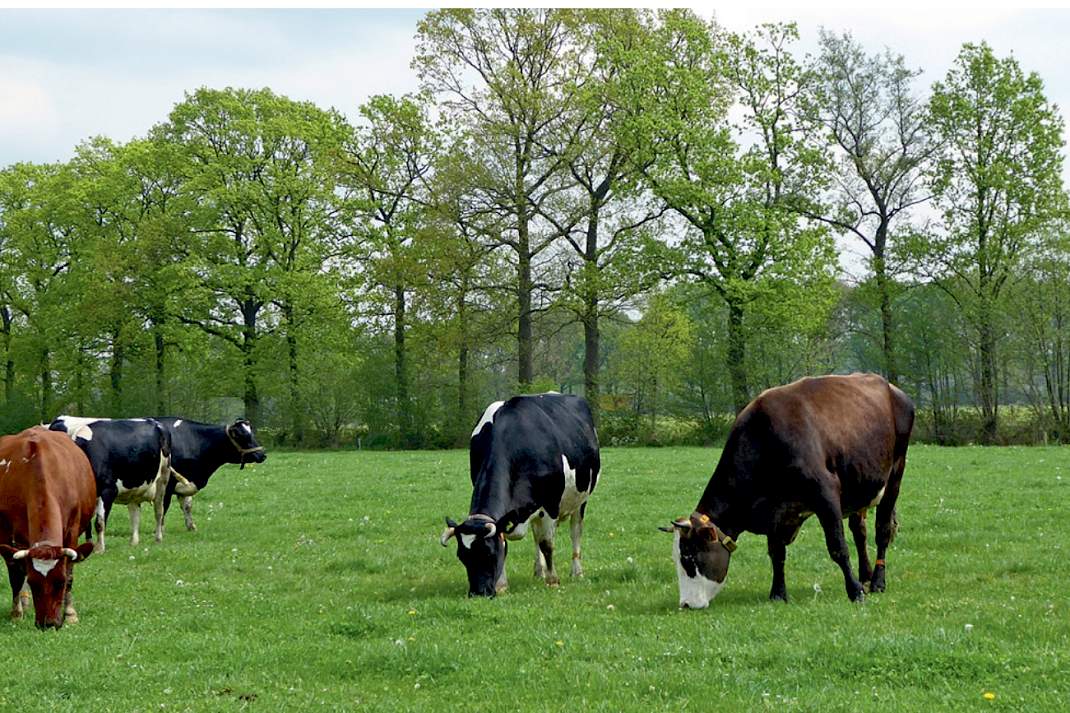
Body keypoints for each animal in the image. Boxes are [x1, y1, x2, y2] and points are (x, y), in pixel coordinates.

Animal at [0, 428, 96, 628]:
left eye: (60, 583)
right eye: (33, 582)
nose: (48, 624)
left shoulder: (72, 531)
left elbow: (70, 572)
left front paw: (70, 614)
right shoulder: (8, 533)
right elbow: (16, 574)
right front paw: (16, 613)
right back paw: (24, 601)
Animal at [49, 416, 172, 553]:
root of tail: (154, 421)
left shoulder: (109, 490)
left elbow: (99, 522)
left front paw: (99, 548)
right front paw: (89, 545)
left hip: (163, 478)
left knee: (159, 510)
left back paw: (158, 538)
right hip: (134, 487)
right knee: (135, 512)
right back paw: (134, 542)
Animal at [440, 393, 600, 597]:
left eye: (489, 553)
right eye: (462, 557)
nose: (478, 593)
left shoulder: (550, 505)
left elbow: (547, 544)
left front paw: (553, 580)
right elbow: (510, 538)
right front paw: (502, 584)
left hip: (581, 500)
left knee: (575, 532)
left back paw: (576, 571)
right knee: (536, 534)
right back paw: (538, 571)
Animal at [662, 373, 914, 609]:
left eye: (689, 557)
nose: (686, 604)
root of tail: (889, 386)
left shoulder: (826, 493)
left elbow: (838, 547)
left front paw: (854, 592)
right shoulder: (776, 510)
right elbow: (777, 553)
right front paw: (778, 593)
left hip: (895, 473)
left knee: (882, 531)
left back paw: (878, 581)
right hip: (859, 485)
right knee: (859, 532)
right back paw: (866, 575)